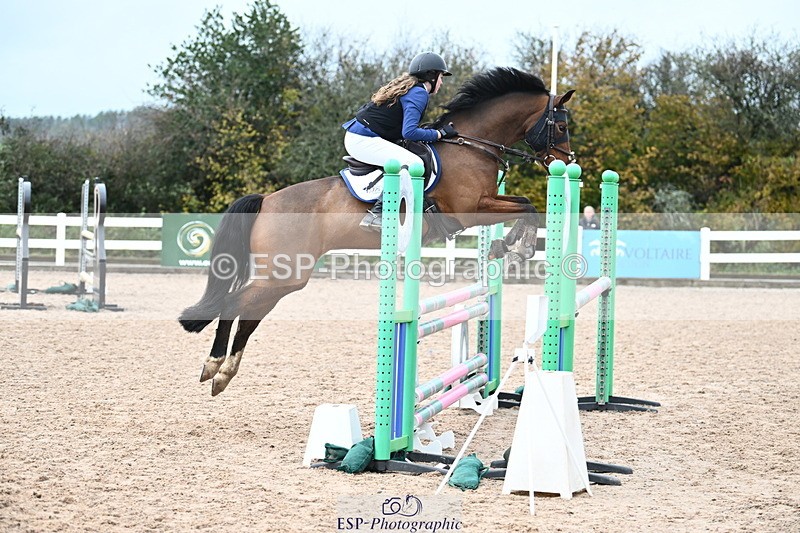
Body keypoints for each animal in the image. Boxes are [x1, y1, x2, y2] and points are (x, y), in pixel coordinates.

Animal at [179, 66, 575, 396]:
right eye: (560, 126)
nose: (567, 162)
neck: (472, 145)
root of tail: (266, 201)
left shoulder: (485, 203)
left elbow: (526, 204)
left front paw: (503, 247)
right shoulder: (470, 211)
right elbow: (530, 207)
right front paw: (516, 248)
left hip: (286, 276)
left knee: (250, 313)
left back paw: (223, 373)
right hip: (281, 274)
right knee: (234, 303)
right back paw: (214, 365)